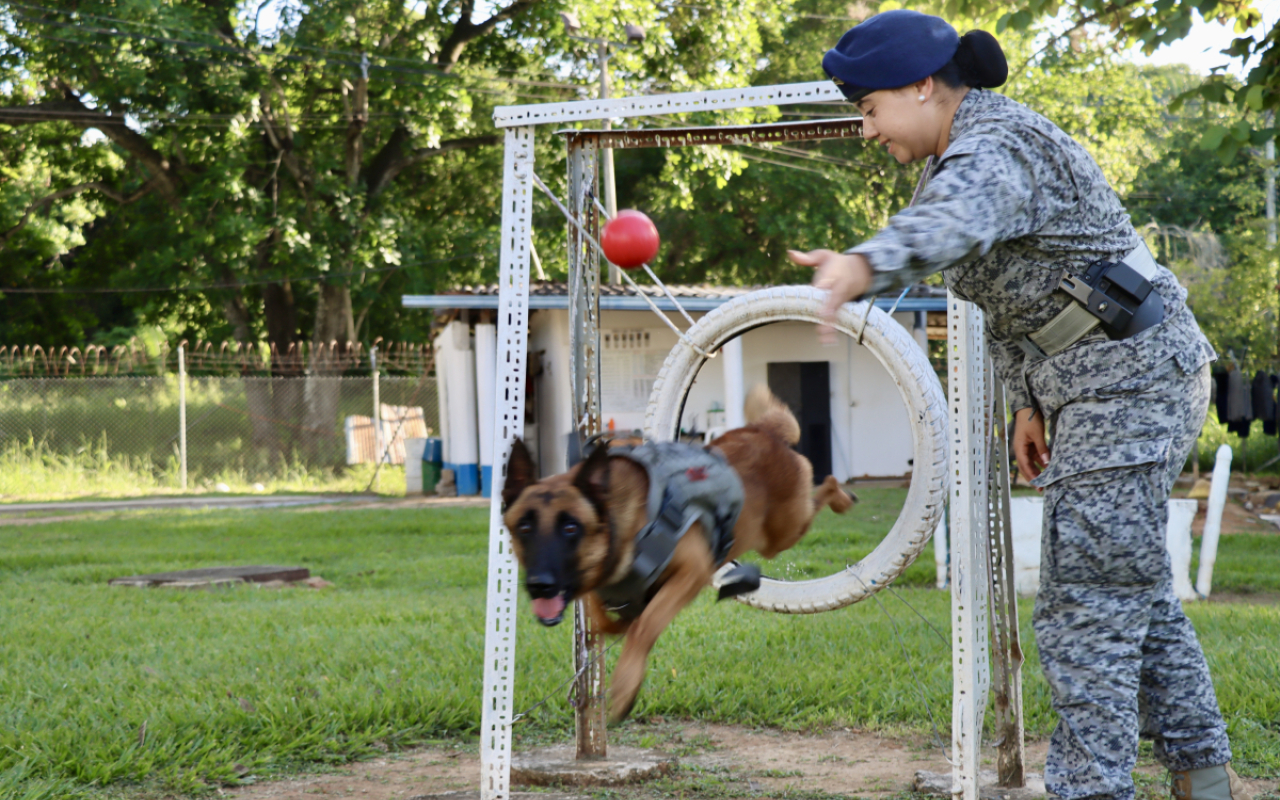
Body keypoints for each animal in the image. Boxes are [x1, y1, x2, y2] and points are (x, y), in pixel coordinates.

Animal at [504, 384, 855, 721]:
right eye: (524, 527)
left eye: (570, 528)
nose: (539, 585)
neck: (622, 523)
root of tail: (762, 430)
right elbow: (605, 619)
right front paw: (619, 624)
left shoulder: (692, 572)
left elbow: (644, 626)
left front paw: (625, 684)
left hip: (783, 532)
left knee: (824, 485)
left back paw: (842, 497)